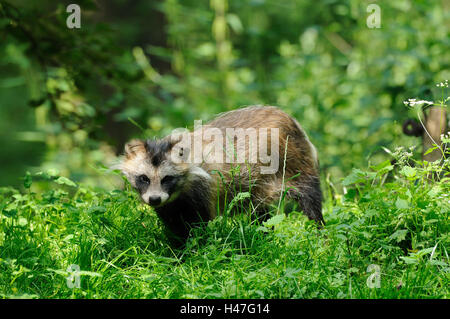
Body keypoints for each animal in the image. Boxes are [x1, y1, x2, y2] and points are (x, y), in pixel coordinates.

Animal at [118, 106, 324, 246]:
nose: (154, 199)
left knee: (310, 198)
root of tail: (288, 117)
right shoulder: (170, 206)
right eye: (144, 178)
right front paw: (176, 251)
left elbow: (200, 227)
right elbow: (175, 228)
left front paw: (192, 253)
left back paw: (320, 231)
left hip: (294, 161)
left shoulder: (203, 192)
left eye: (167, 178)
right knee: (261, 213)